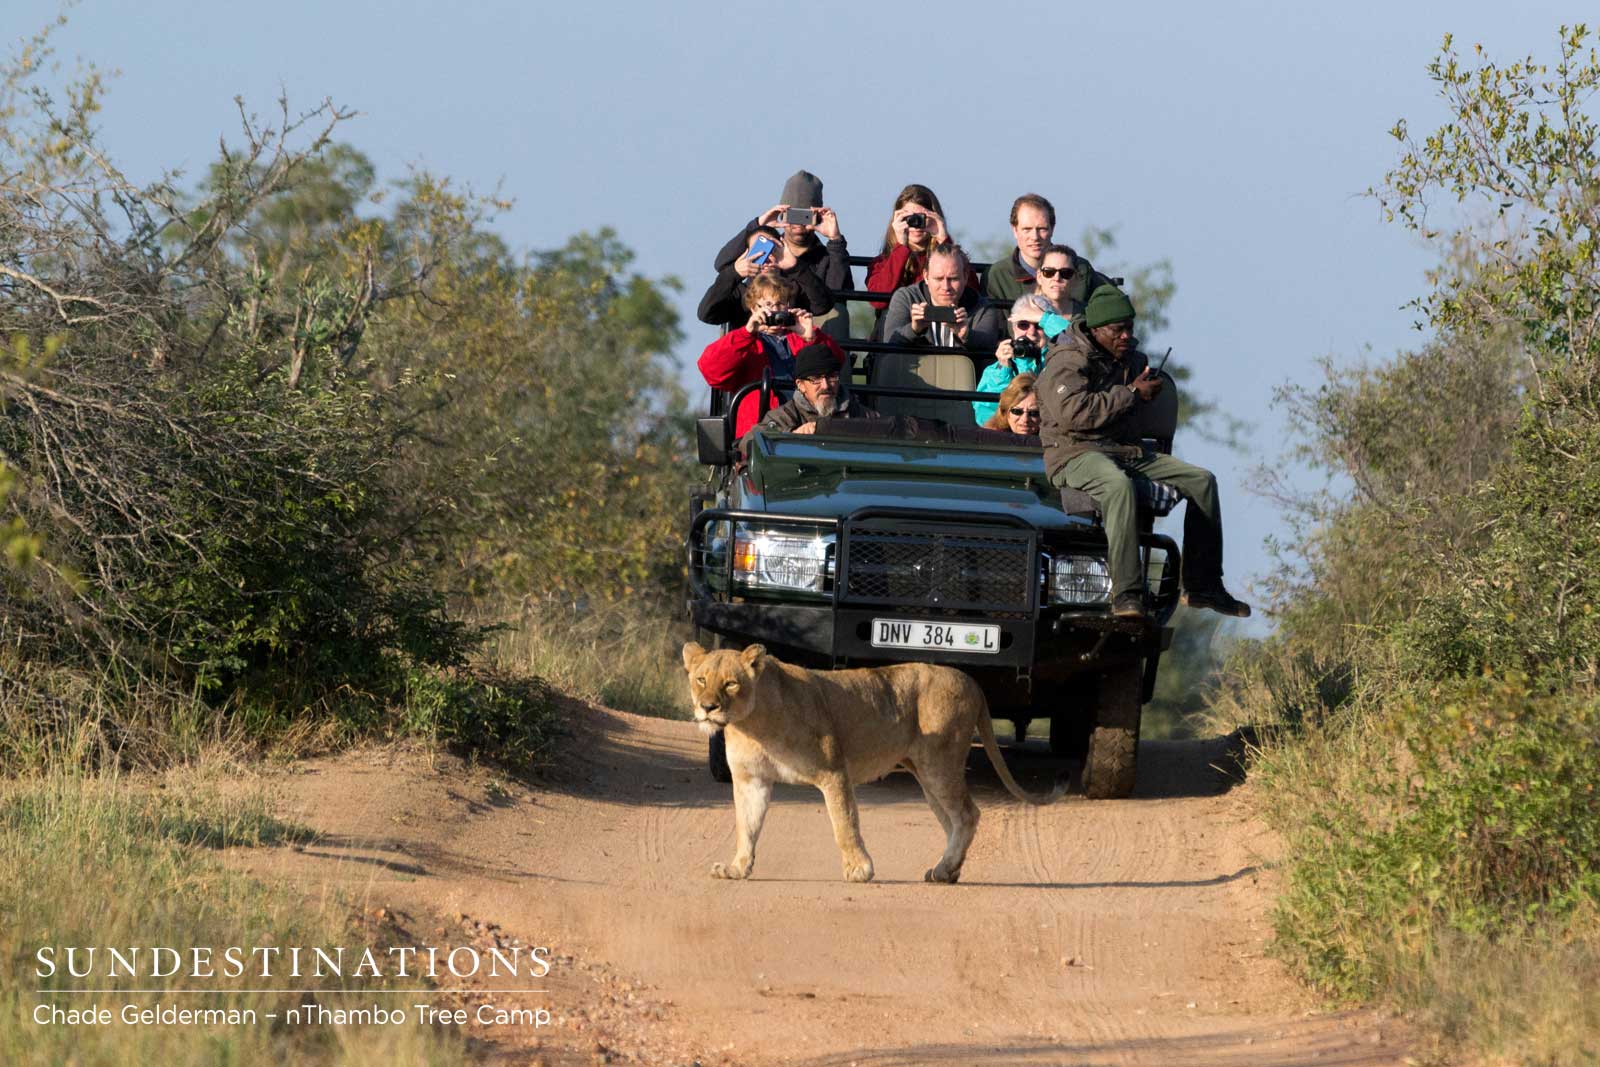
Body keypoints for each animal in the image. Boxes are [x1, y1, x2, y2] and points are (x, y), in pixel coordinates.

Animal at [680, 642, 1057, 884]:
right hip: (927, 774)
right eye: (700, 680)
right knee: (954, 821)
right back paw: (946, 871)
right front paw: (737, 869)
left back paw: (945, 869)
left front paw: (860, 870)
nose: (708, 708)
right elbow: (747, 827)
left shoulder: (833, 770)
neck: (751, 724)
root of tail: (971, 681)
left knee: (968, 814)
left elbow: (844, 824)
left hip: (939, 763)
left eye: (731, 683)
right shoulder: (752, 781)